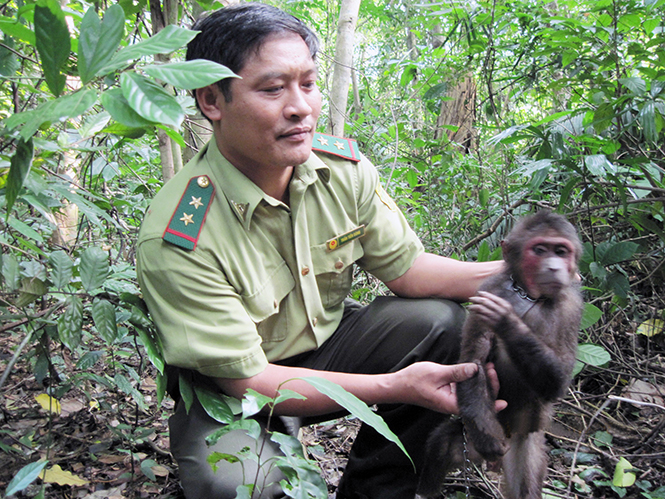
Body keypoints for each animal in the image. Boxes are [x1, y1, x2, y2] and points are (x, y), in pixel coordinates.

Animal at [418, 212, 584, 499]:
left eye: (561, 251)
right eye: (540, 250)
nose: (554, 267)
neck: (529, 296)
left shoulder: (572, 306)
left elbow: (558, 381)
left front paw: (506, 320)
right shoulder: (490, 289)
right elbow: (474, 362)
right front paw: (489, 440)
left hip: (524, 442)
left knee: (526, 483)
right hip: (471, 440)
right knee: (443, 445)